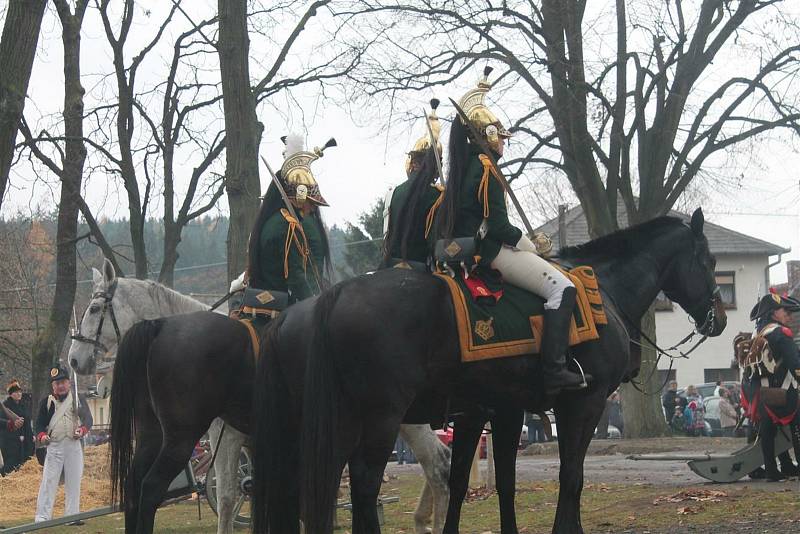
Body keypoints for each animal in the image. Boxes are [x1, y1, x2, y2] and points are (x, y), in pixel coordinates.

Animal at [67, 260, 450, 534]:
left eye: (94, 309)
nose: (73, 360)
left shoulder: (228, 436)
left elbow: (230, 496)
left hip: (399, 419)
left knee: (437, 464)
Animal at [253, 208, 728, 534]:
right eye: (707, 261)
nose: (719, 319)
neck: (604, 290)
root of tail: (332, 296)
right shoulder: (583, 404)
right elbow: (570, 475)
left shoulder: (492, 411)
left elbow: (485, 481)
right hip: (379, 418)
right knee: (363, 484)